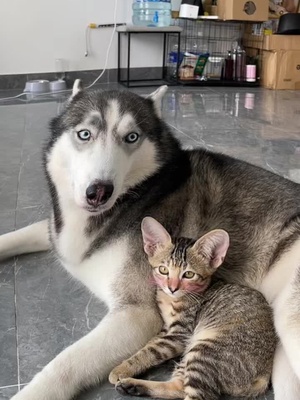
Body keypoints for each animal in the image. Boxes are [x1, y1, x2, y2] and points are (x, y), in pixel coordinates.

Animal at [109, 219, 276, 400]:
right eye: (163, 270)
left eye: (189, 274)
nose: (172, 288)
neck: (171, 299)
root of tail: (264, 376)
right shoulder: (167, 328)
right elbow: (150, 343)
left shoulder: (180, 333)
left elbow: (151, 351)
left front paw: (121, 369)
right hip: (190, 356)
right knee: (178, 386)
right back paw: (132, 386)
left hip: (204, 351)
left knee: (194, 394)